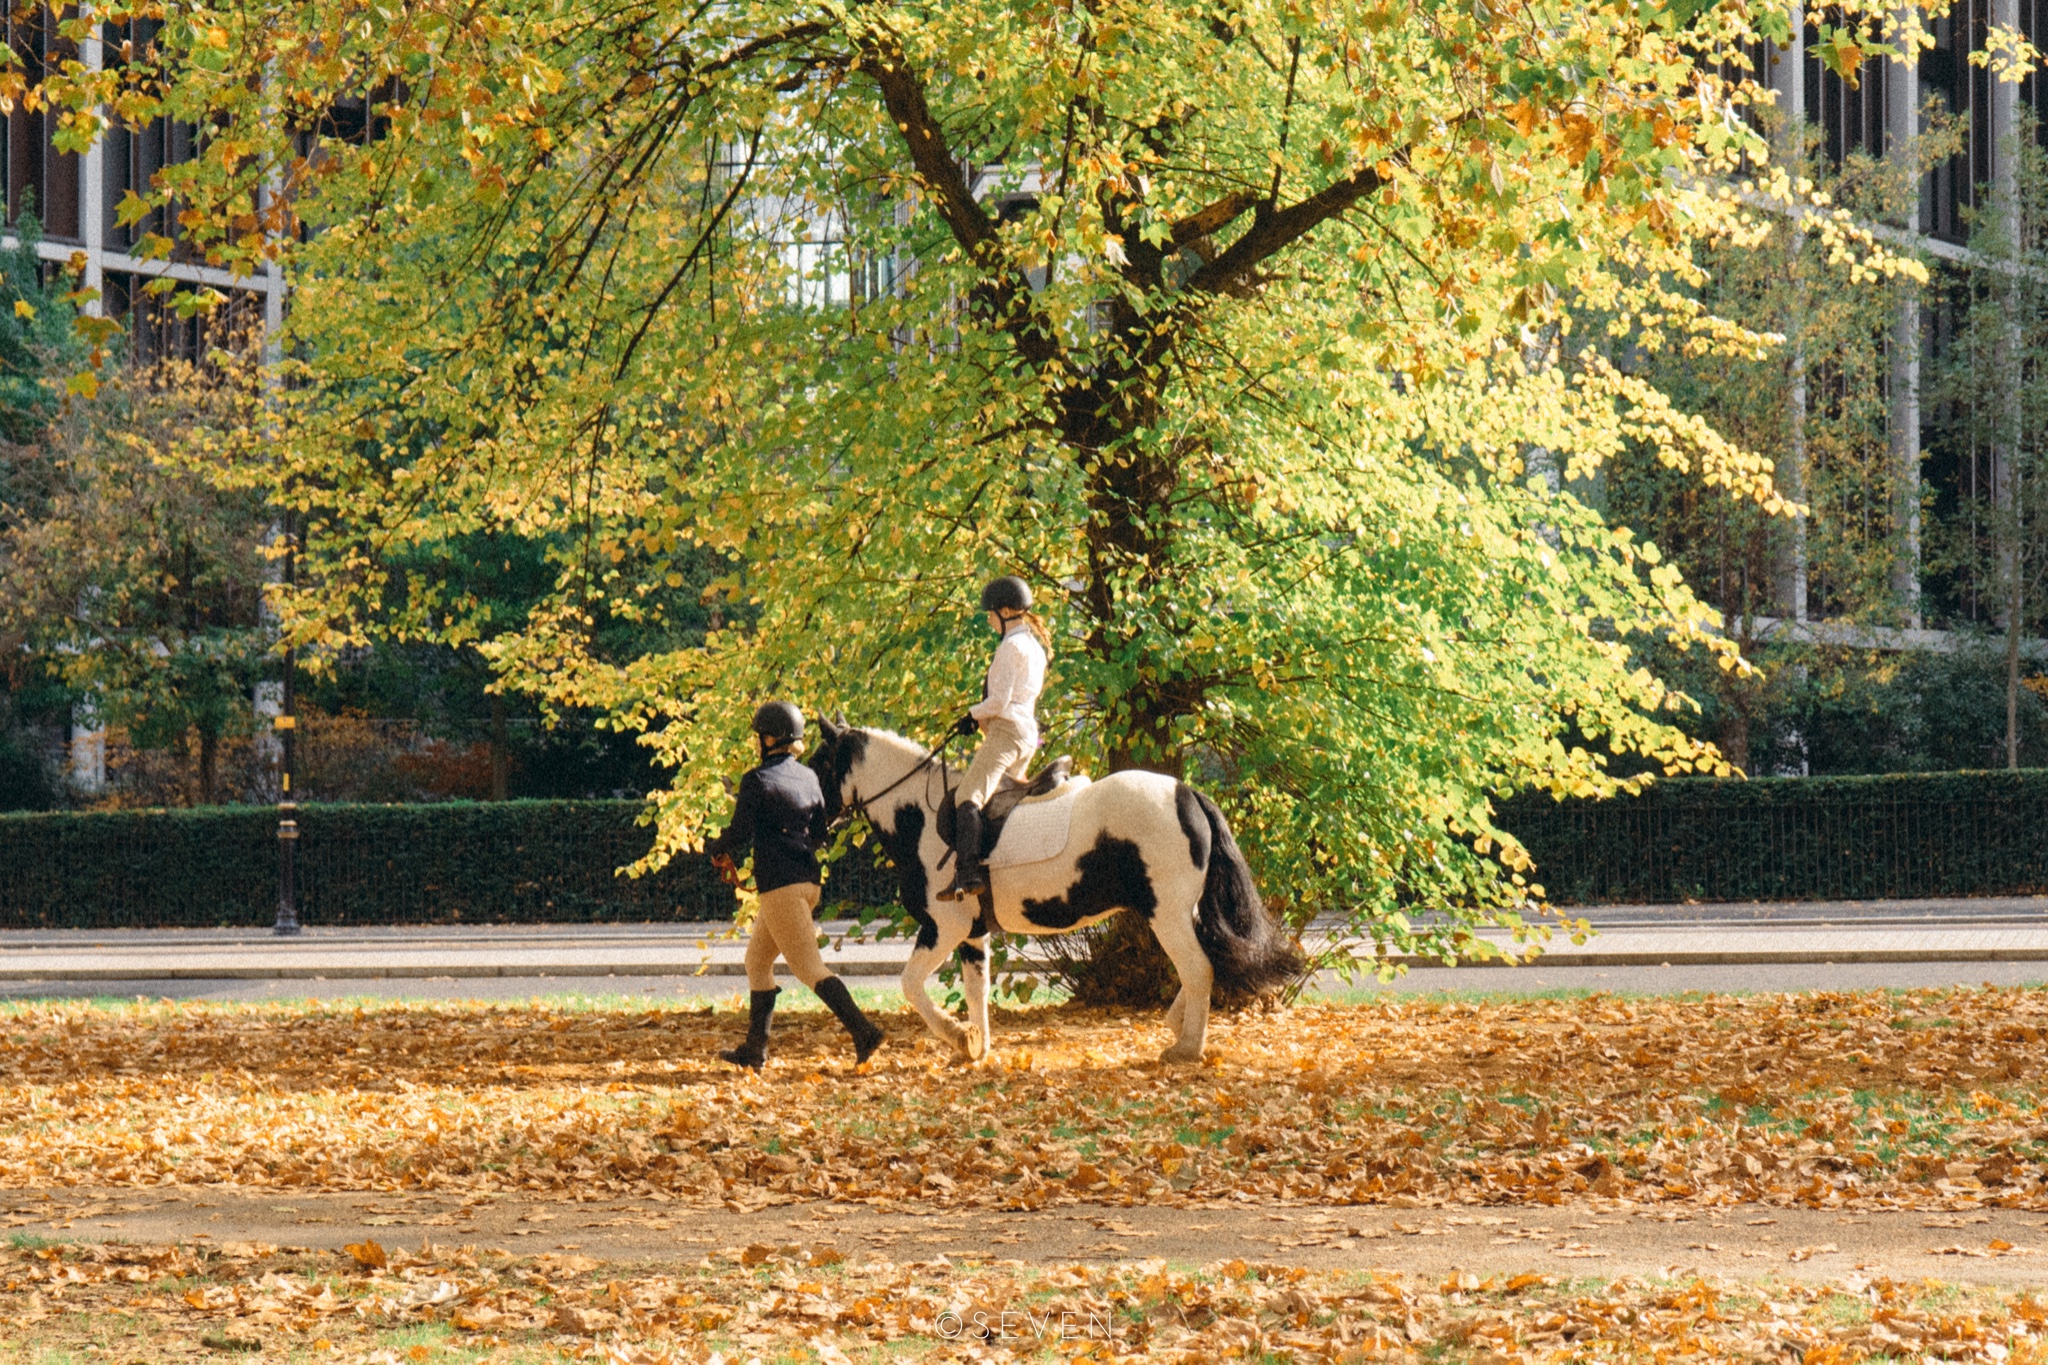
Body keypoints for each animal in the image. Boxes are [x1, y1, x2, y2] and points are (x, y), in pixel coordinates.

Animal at [806, 724, 1302, 1064]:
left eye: (819, 764)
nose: (811, 821)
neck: (921, 819)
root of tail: (1186, 793)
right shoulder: (972, 933)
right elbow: (976, 989)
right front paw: (976, 1048)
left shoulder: (943, 926)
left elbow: (910, 984)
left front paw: (958, 1037)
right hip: (1183, 912)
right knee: (1207, 961)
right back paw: (1178, 1028)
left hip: (1167, 914)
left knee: (1198, 968)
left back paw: (1187, 1048)